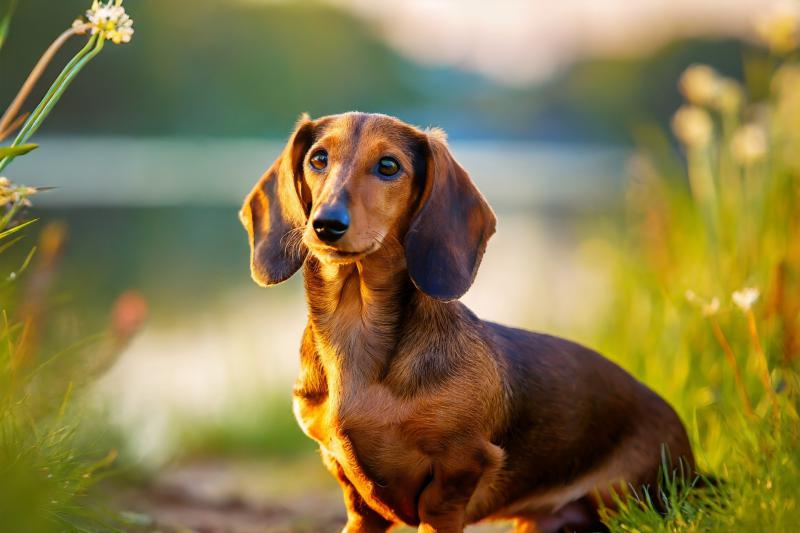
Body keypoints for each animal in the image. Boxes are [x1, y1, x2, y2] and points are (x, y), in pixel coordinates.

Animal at [239, 112, 692, 532]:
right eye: (318, 159)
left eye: (388, 165)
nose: (326, 225)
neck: (356, 328)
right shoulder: (352, 489)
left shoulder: (459, 471)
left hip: (622, 500)